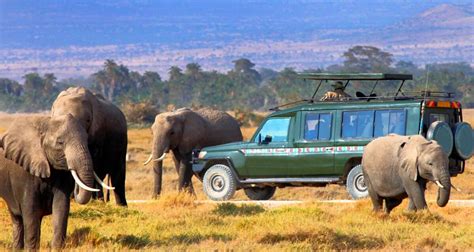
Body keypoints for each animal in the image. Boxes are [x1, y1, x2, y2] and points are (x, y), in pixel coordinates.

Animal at [0, 115, 107, 249]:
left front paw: (57, 248)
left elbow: (61, 207)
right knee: (17, 218)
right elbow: (30, 210)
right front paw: (31, 250)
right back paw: (18, 249)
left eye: (87, 141)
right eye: (60, 143)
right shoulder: (25, 173)